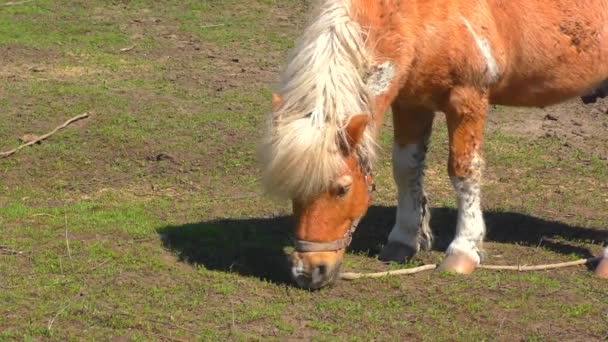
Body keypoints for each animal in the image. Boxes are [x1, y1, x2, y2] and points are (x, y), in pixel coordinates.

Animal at [262, 0, 608, 288]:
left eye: (342, 189)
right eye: (292, 189)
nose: (308, 272)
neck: (414, 15)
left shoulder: (467, 99)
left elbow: (463, 171)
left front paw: (463, 252)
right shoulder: (411, 103)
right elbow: (405, 170)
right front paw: (404, 239)